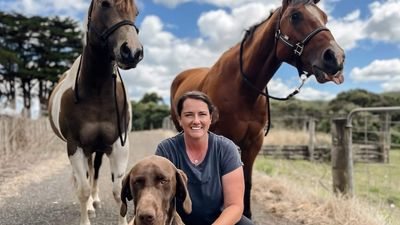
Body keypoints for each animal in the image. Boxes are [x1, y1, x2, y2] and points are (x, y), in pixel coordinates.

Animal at [48, 0, 143, 225]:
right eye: (104, 4)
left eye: (136, 12)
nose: (132, 52)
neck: (97, 93)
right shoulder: (75, 146)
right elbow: (82, 189)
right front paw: (86, 211)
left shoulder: (119, 144)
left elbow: (118, 190)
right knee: (86, 175)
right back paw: (91, 205)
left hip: (97, 148)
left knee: (95, 170)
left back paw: (95, 199)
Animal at [169, 0, 344, 218]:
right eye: (295, 16)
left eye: (325, 18)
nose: (336, 57)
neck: (242, 88)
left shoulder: (253, 143)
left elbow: (246, 181)